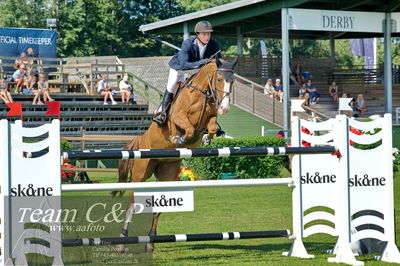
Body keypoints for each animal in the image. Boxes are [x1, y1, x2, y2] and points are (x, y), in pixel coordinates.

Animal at [113, 57, 238, 252]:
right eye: (219, 79)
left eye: (232, 81)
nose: (224, 108)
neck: (203, 94)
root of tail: (141, 139)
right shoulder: (179, 117)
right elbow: (188, 128)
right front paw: (178, 139)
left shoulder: (209, 119)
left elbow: (210, 127)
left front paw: (206, 138)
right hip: (141, 173)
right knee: (131, 204)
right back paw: (121, 242)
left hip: (167, 173)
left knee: (158, 205)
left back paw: (150, 242)